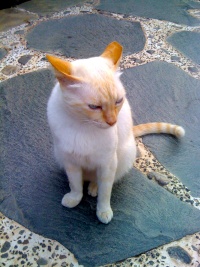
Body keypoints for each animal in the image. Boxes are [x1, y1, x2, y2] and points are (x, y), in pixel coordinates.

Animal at [46, 42, 184, 225]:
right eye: (94, 107)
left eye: (118, 101)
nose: (112, 122)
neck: (83, 125)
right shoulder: (71, 162)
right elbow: (75, 185)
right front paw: (74, 199)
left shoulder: (107, 164)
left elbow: (105, 192)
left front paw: (103, 211)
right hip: (59, 155)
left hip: (122, 157)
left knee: (99, 181)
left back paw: (93, 188)